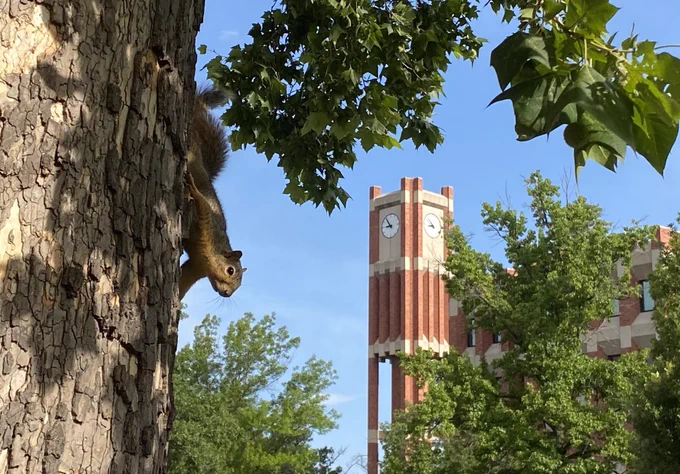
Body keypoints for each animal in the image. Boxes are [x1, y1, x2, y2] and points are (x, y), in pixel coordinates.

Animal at [179, 84, 246, 300]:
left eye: (239, 285)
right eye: (230, 270)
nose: (227, 293)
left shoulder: (195, 268)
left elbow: (183, 281)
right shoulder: (208, 221)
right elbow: (201, 202)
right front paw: (192, 187)